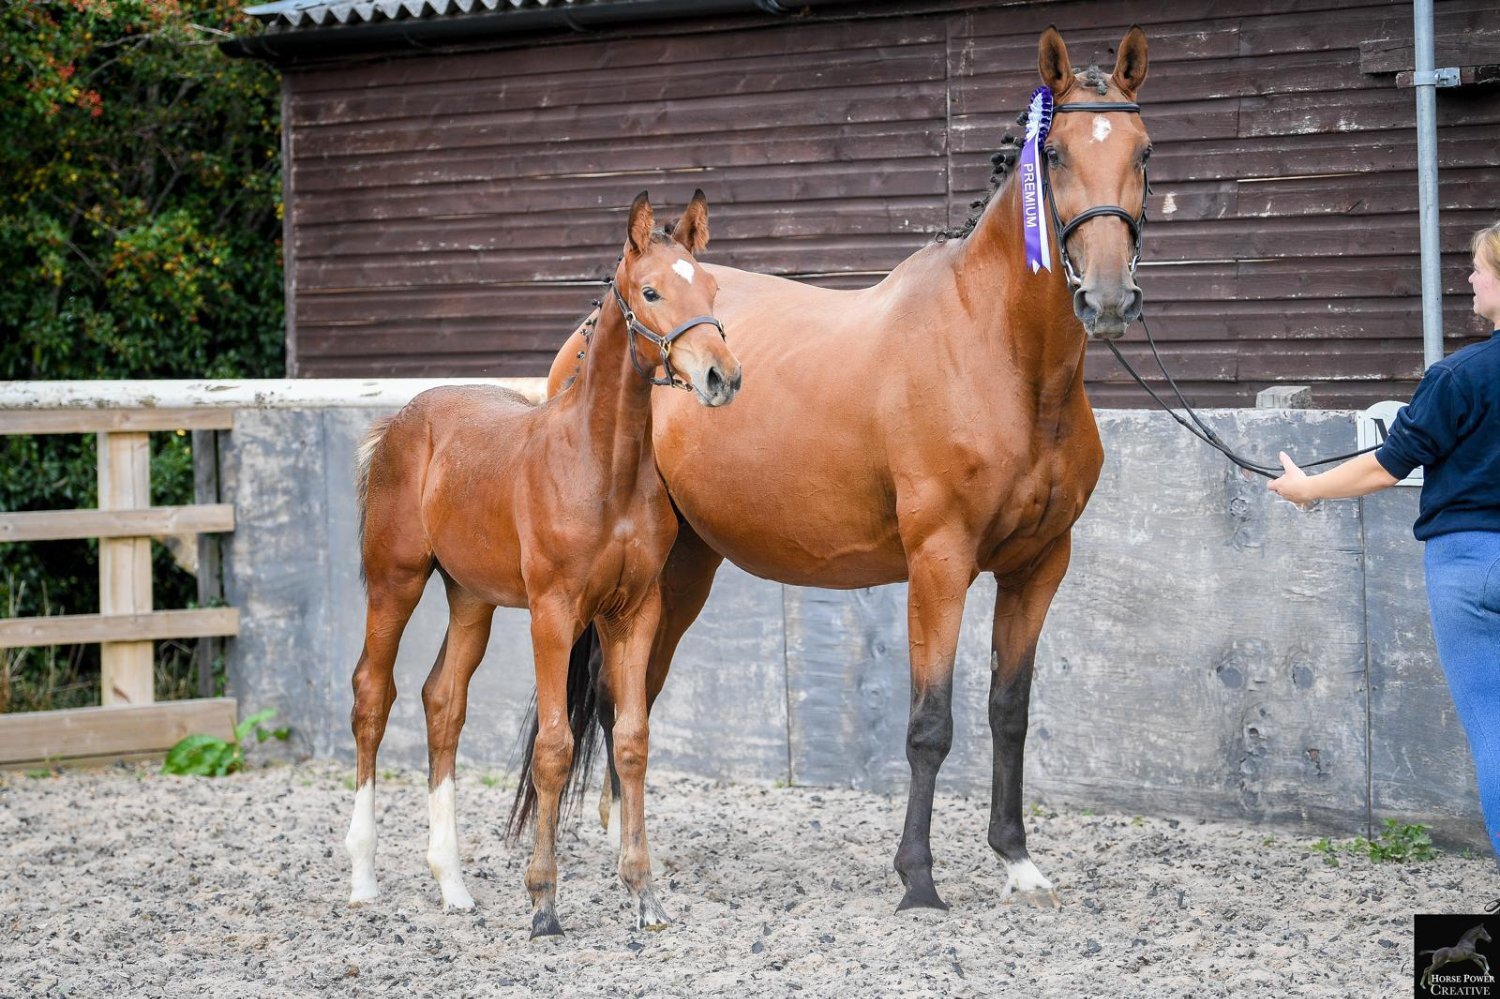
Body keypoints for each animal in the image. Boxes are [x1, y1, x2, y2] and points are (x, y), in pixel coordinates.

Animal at [344, 190, 742, 937]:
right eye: (650, 291)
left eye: (709, 288)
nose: (720, 377)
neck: (603, 467)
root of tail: (400, 422)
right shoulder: (554, 613)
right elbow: (553, 747)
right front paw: (544, 902)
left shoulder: (633, 611)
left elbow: (631, 739)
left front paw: (644, 895)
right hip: (394, 582)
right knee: (371, 696)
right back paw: (362, 876)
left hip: (470, 597)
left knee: (443, 702)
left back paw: (453, 884)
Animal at [518, 24, 1152, 913]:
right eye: (1054, 154)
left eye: (1144, 151)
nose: (1107, 297)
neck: (1002, 355)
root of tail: (590, 329)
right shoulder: (940, 562)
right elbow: (930, 723)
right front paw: (918, 877)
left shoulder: (1038, 564)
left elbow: (1009, 711)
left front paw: (1016, 859)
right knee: (613, 698)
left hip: (681, 566)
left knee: (620, 695)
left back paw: (628, 849)